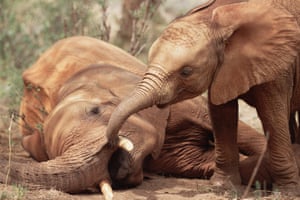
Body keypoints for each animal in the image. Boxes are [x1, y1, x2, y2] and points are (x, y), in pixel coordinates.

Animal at [105, 0, 300, 195]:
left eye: (186, 72)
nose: (116, 142)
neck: (217, 19)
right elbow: (222, 116)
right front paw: (221, 187)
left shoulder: (277, 63)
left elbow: (272, 117)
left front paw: (287, 192)